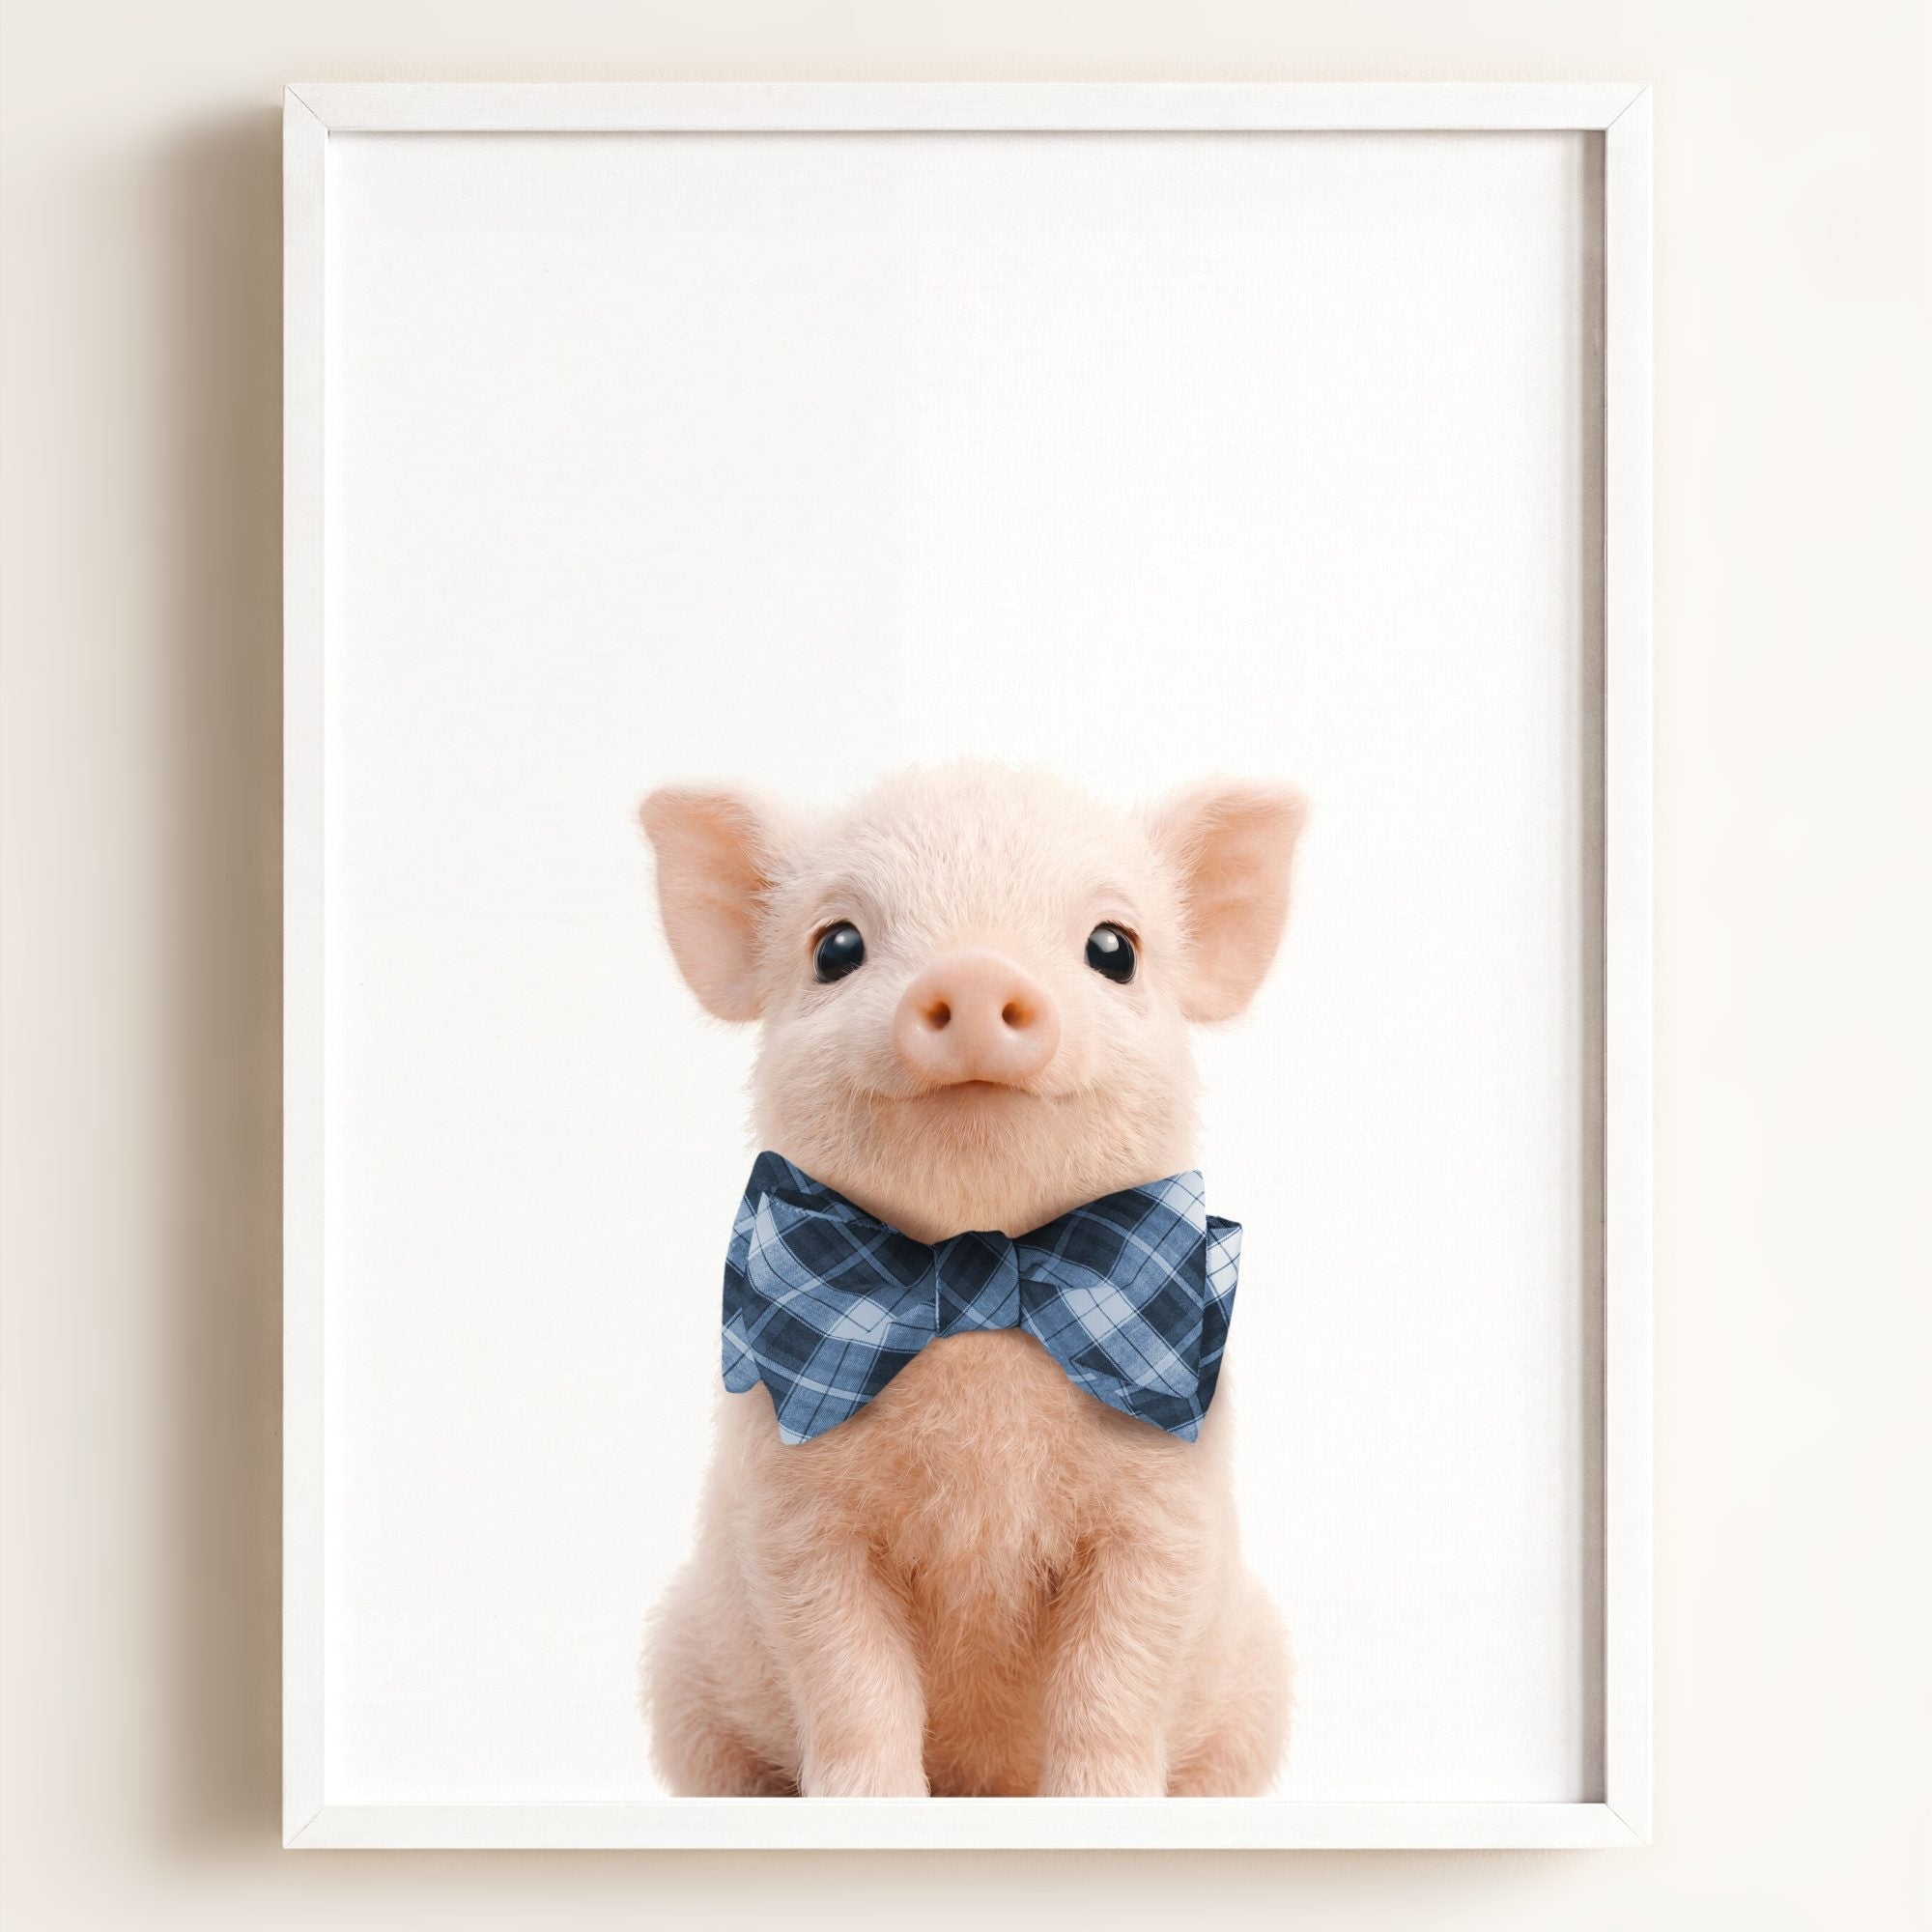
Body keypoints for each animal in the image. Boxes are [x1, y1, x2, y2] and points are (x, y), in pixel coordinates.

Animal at [638, 761, 1306, 1797]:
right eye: (836, 947)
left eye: (1114, 949)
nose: (977, 970)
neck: (979, 1280)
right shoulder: (793, 1518)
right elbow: (850, 1680)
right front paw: (865, 1802)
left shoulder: (1164, 1513)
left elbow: (1116, 1681)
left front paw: (1105, 1802)